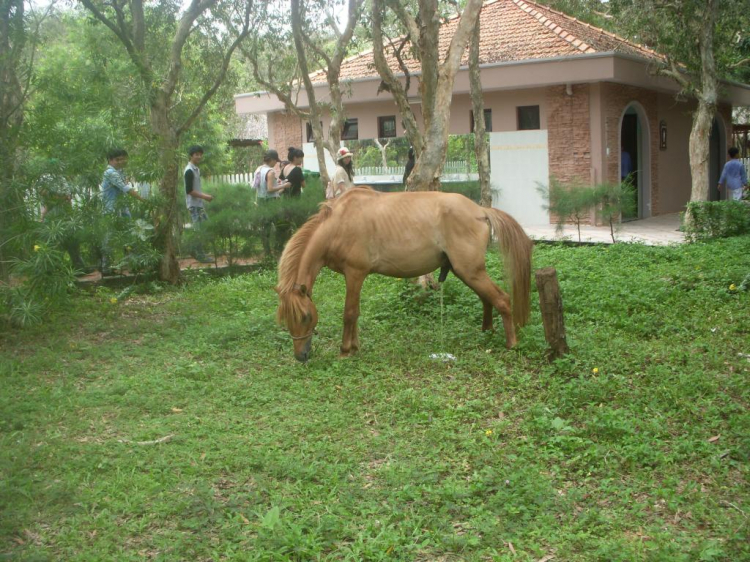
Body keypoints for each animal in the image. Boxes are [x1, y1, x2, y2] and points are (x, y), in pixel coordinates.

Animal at [278, 188, 536, 360]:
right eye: (287, 320)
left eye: (306, 317)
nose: (300, 356)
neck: (339, 224)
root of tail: (480, 210)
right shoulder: (355, 277)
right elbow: (357, 313)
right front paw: (355, 347)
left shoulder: (355, 274)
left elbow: (349, 314)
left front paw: (344, 351)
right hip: (469, 273)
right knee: (487, 299)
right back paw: (487, 332)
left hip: (471, 272)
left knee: (502, 299)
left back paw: (511, 344)